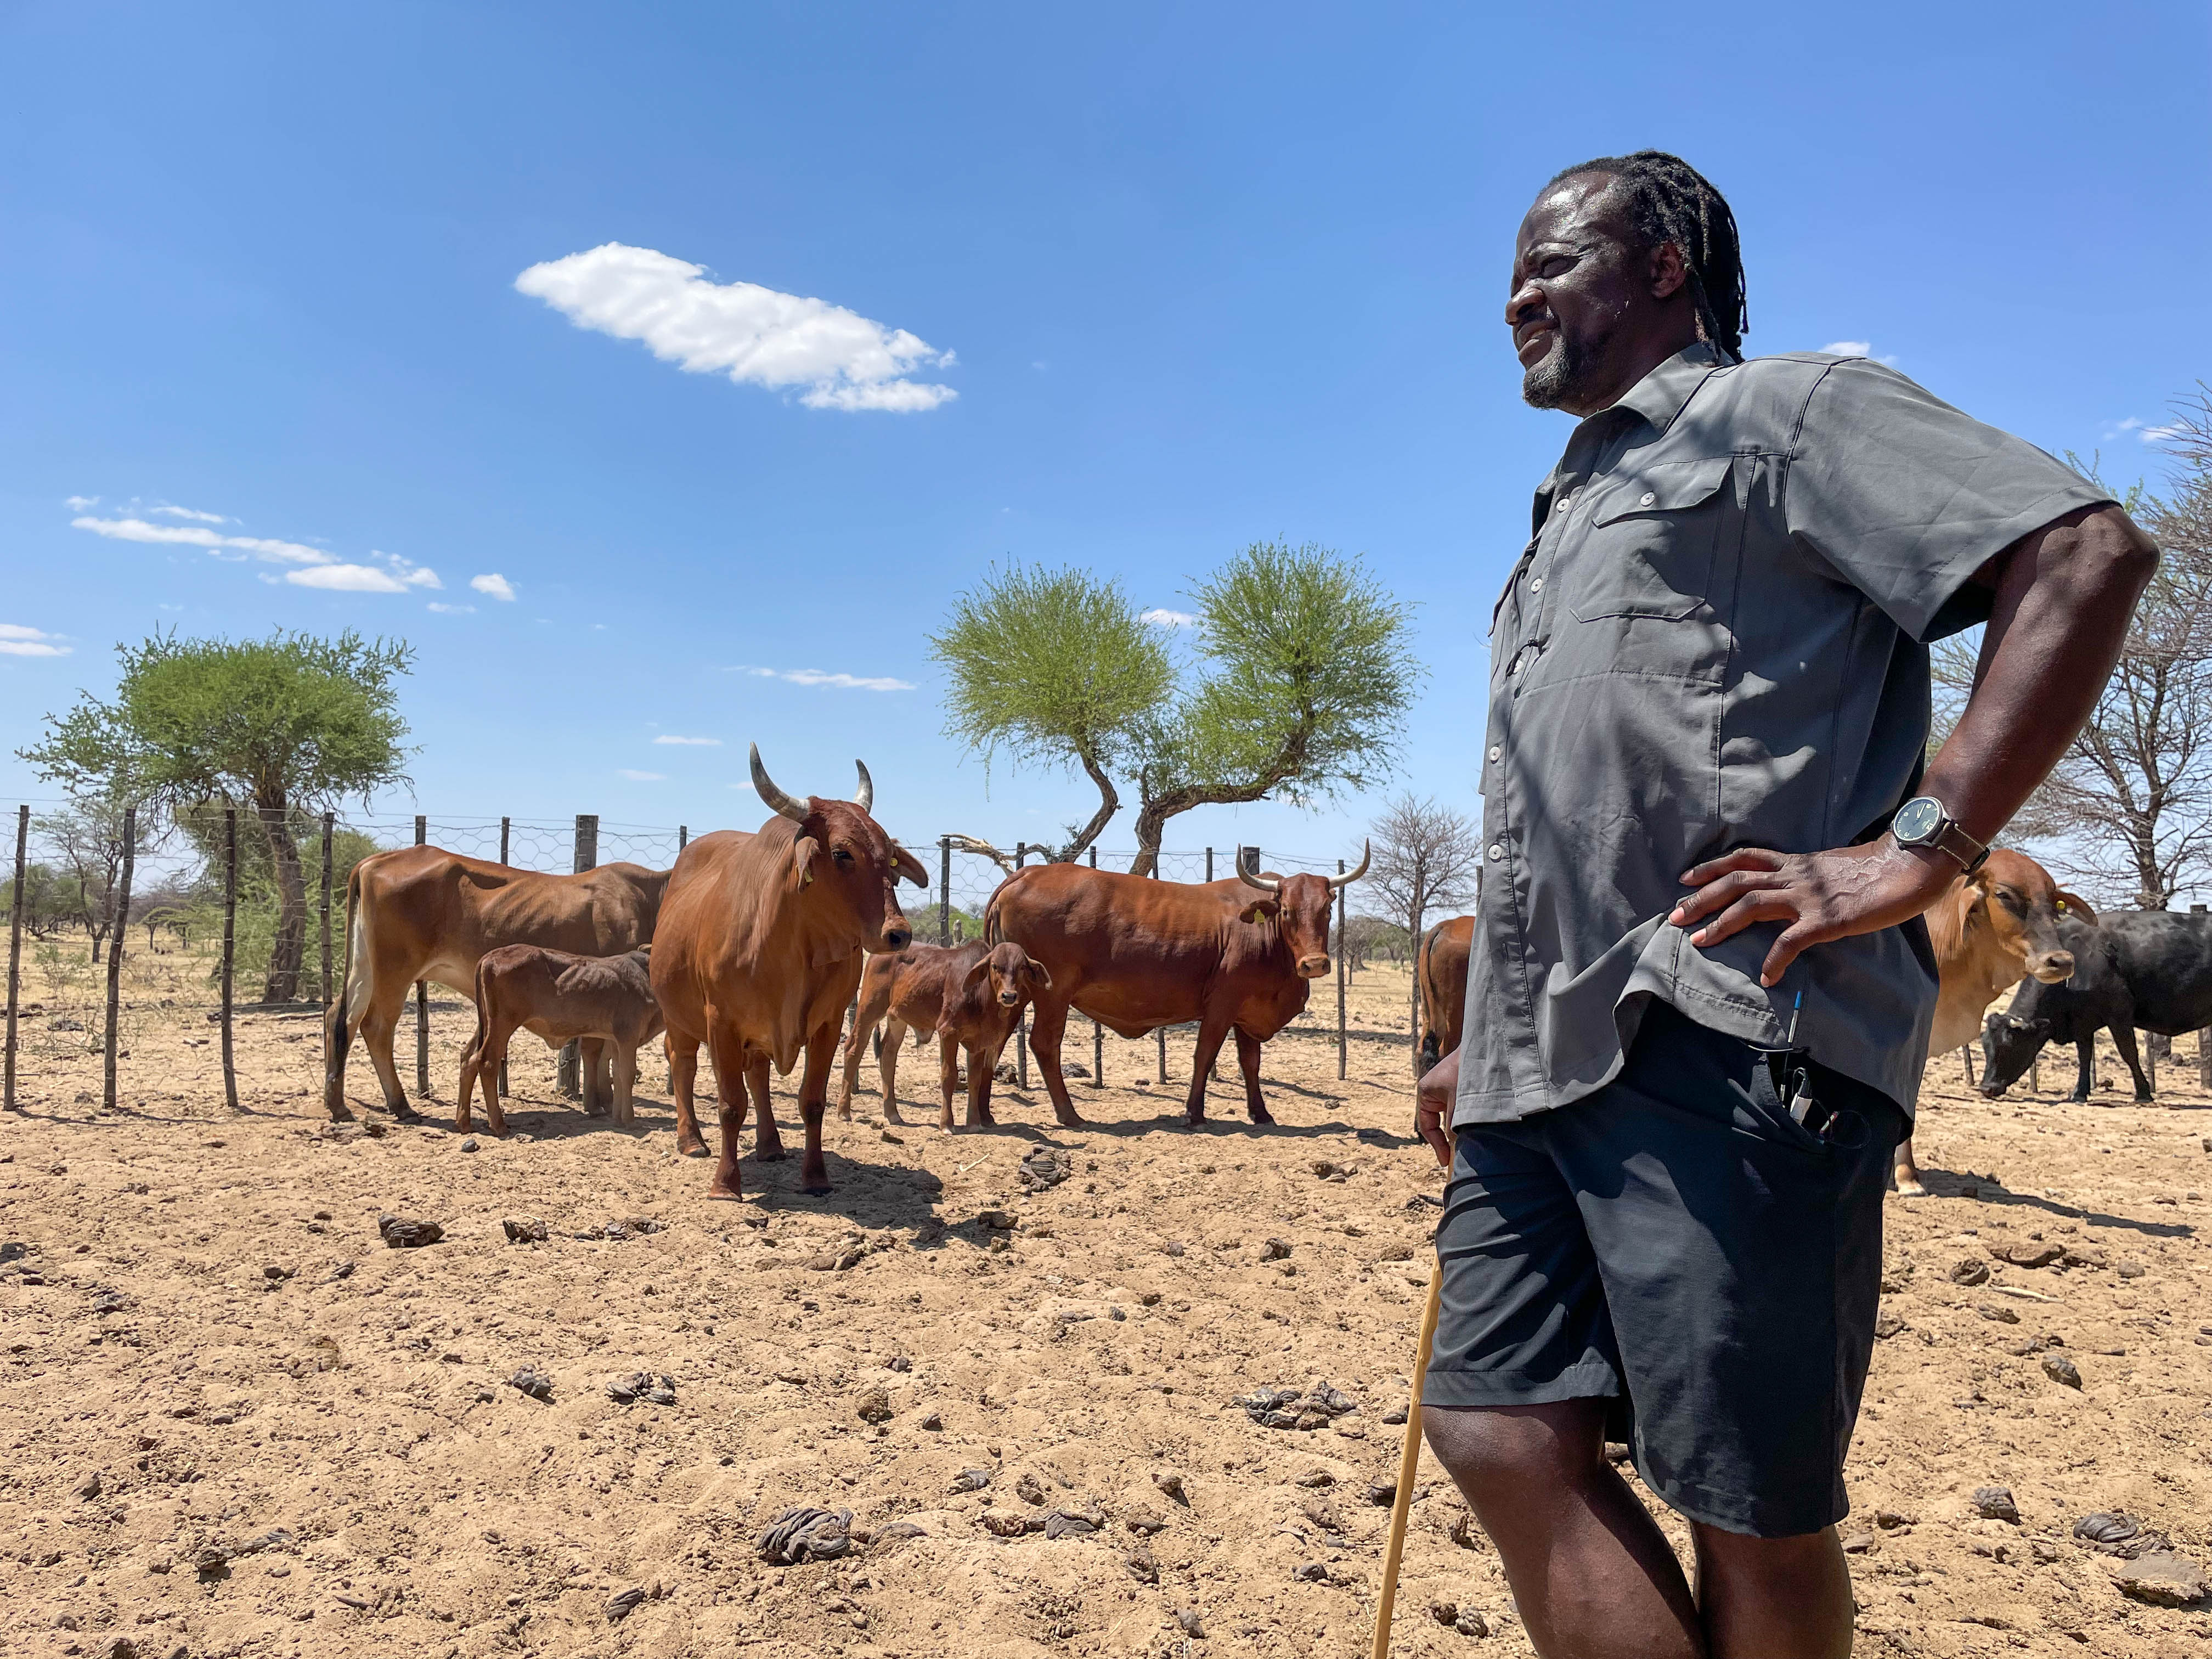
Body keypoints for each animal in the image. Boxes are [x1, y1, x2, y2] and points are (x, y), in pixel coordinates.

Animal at [454, 946, 663, 1136]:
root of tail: (491, 956)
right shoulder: (628, 1034)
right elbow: (627, 1075)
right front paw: (629, 1119)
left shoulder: (615, 1039)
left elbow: (618, 1075)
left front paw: (618, 1118)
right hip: (503, 1024)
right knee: (486, 1062)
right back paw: (498, 1124)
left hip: (486, 1024)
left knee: (468, 1058)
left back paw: (464, 1122)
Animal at [650, 747, 927, 1198]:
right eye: (842, 853)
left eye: (889, 855)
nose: (898, 933)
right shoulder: (720, 1022)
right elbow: (731, 1105)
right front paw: (726, 1184)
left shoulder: (828, 1024)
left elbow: (811, 1101)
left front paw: (815, 1178)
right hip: (677, 1016)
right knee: (683, 1064)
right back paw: (691, 1140)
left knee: (759, 1076)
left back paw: (771, 1145)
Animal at [834, 940, 1051, 1130]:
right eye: (995, 966)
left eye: (1022, 967)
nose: (1009, 996)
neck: (980, 997)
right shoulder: (948, 1033)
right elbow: (949, 1075)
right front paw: (947, 1124)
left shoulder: (979, 1043)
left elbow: (975, 1079)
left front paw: (974, 1123)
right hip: (870, 1008)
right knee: (853, 1048)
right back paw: (844, 1111)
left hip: (897, 1018)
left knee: (888, 1055)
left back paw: (893, 1114)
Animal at [985, 845, 1368, 1129]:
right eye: (1286, 910)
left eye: (1328, 908)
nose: (1314, 963)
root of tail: (1027, 873)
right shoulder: (1222, 1005)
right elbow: (1205, 1055)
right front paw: (1194, 1114)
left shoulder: (1247, 1012)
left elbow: (1251, 1063)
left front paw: (1260, 1113)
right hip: (1054, 993)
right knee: (1044, 1044)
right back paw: (1069, 1114)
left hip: (1015, 993)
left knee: (995, 1041)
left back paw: (984, 1115)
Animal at [1980, 908, 2212, 1102]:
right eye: (1986, 1045)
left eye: (2009, 1043)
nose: (1986, 1088)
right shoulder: (2082, 1021)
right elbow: (2085, 1055)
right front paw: (2079, 1093)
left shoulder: (2119, 1015)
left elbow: (2129, 1053)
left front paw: (2143, 1094)